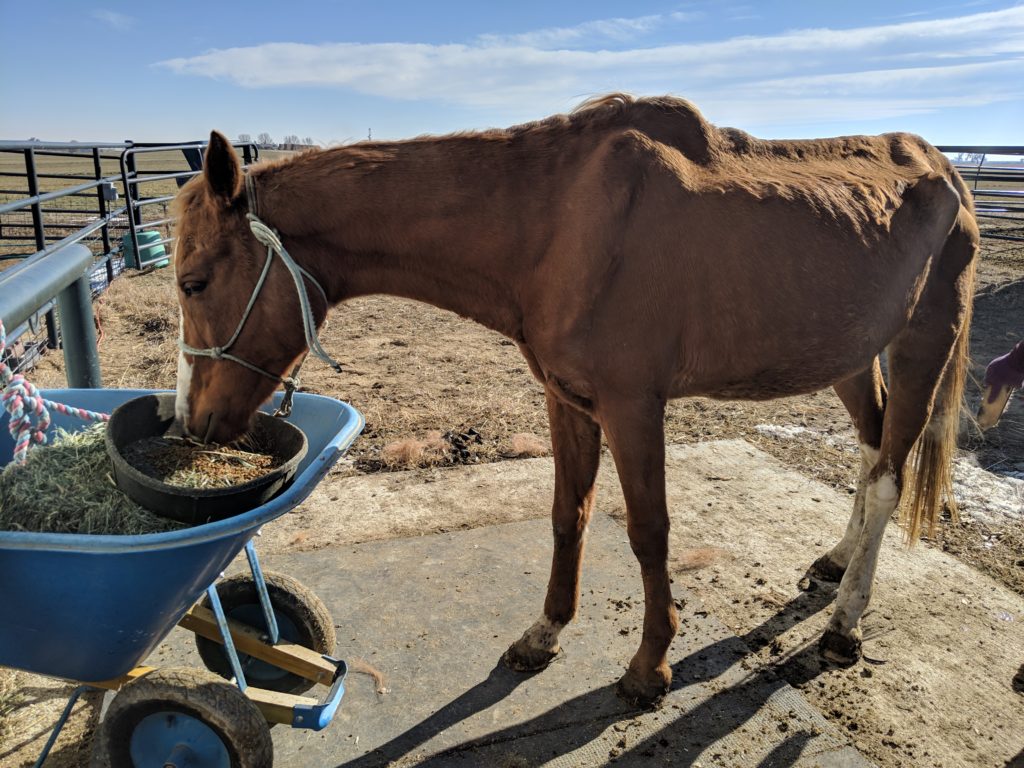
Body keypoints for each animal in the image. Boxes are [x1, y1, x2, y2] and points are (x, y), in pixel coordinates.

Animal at [174, 93, 974, 708]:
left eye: (193, 281)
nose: (193, 423)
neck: (556, 220)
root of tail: (947, 173)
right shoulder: (569, 401)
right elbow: (569, 514)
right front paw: (545, 632)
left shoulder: (632, 407)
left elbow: (650, 533)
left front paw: (650, 666)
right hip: (849, 355)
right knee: (871, 453)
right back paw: (837, 564)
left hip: (923, 344)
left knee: (889, 479)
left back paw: (846, 623)